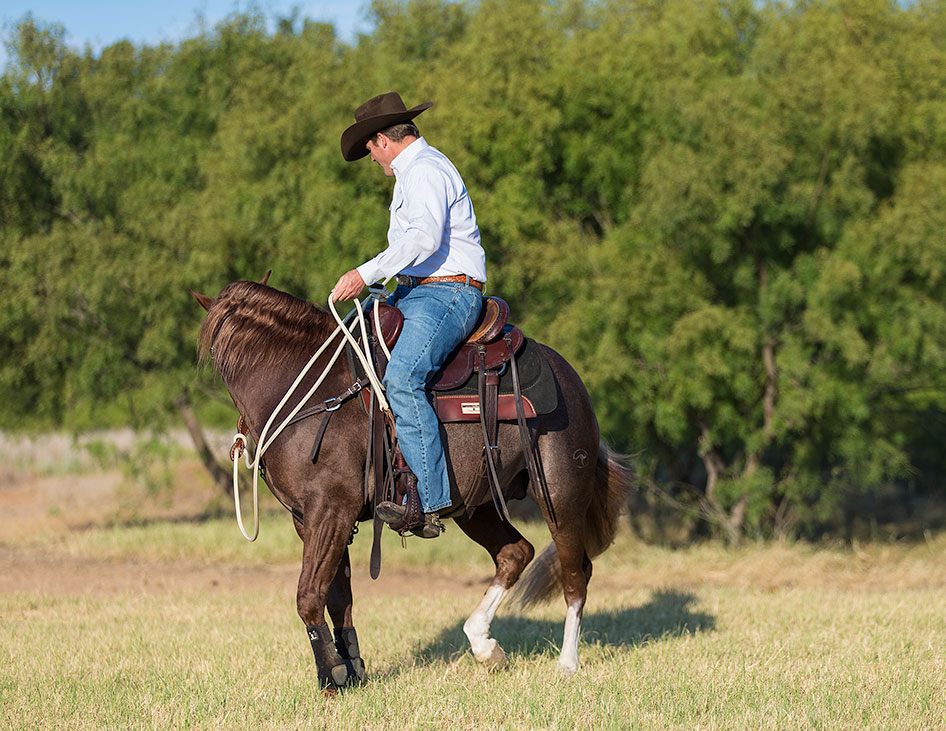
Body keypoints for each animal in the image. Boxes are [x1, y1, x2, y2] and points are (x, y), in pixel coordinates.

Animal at [190, 280, 636, 692]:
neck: (309, 388)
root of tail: (567, 374)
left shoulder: (329, 511)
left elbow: (309, 595)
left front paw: (331, 676)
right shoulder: (314, 519)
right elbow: (338, 598)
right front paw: (351, 670)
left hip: (559, 495)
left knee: (575, 573)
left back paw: (566, 664)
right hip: (474, 505)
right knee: (515, 553)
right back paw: (485, 647)